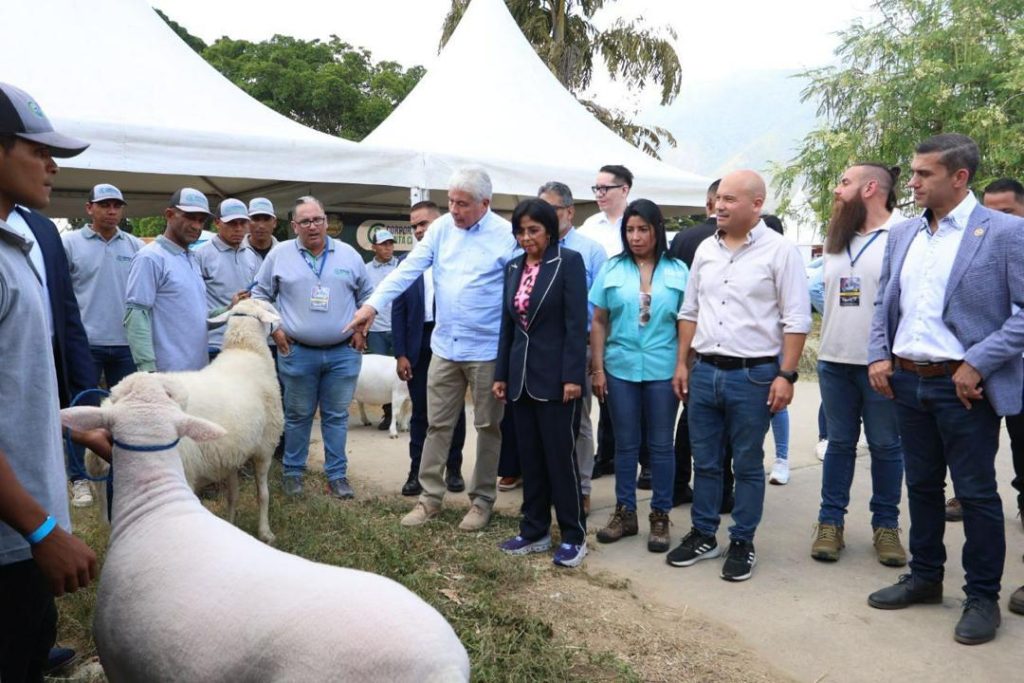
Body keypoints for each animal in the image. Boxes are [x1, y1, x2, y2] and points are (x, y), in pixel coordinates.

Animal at [85, 299, 280, 544]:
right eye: (270, 309)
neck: (246, 351)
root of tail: (106, 413)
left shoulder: (231, 453)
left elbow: (233, 495)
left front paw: (232, 524)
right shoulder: (265, 446)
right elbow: (263, 494)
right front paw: (266, 532)